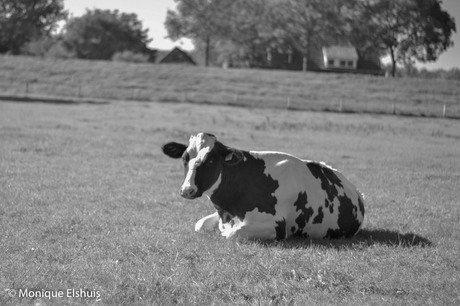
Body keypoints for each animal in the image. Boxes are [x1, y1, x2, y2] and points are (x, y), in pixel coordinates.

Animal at [164, 133, 364, 240]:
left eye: (211, 160)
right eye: (184, 158)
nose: (186, 190)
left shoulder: (276, 225)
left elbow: (231, 234)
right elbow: (199, 224)